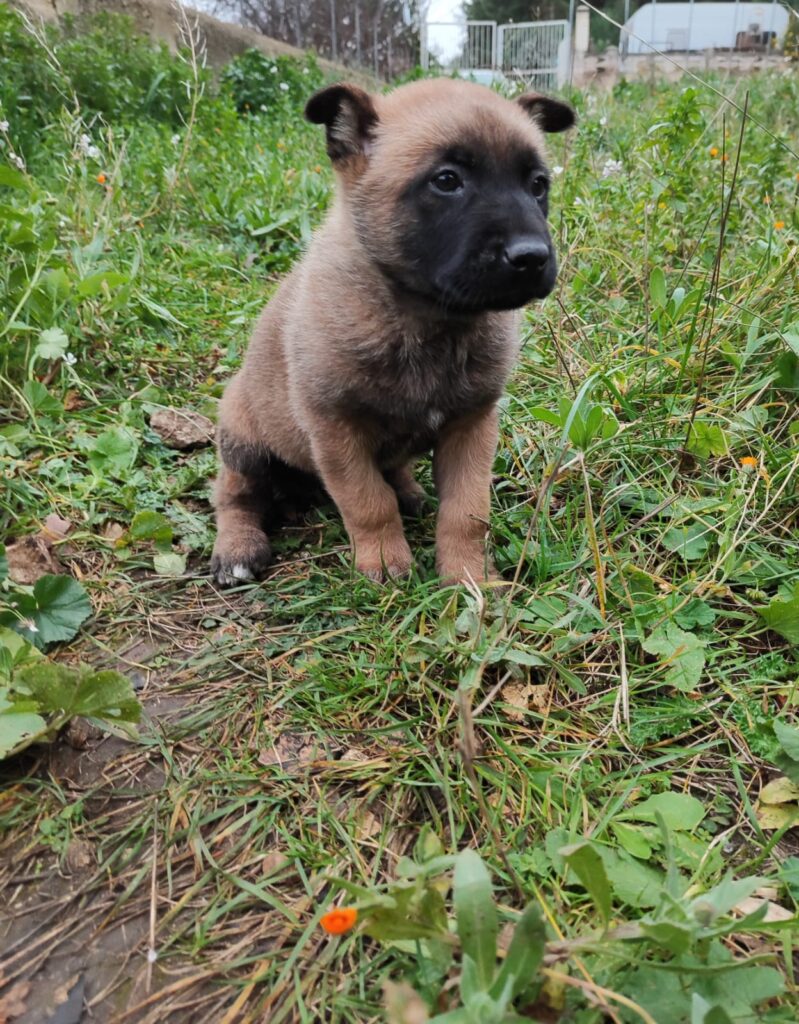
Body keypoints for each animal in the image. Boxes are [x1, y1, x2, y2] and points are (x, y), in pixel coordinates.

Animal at [212, 76, 573, 589]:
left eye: (538, 185)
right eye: (447, 181)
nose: (532, 257)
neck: (427, 320)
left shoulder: (472, 425)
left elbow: (467, 510)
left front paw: (469, 576)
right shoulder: (336, 430)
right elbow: (368, 503)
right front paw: (384, 561)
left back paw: (411, 493)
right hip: (244, 440)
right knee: (234, 494)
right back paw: (237, 547)